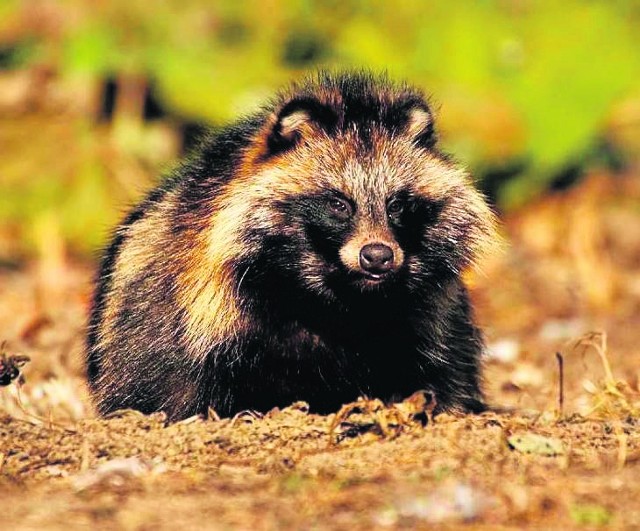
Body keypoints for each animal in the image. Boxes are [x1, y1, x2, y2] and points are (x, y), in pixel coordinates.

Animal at [86, 71, 496, 420]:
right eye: (338, 204)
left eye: (396, 205)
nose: (377, 256)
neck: (342, 299)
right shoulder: (210, 313)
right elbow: (187, 380)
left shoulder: (429, 314)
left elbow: (440, 370)